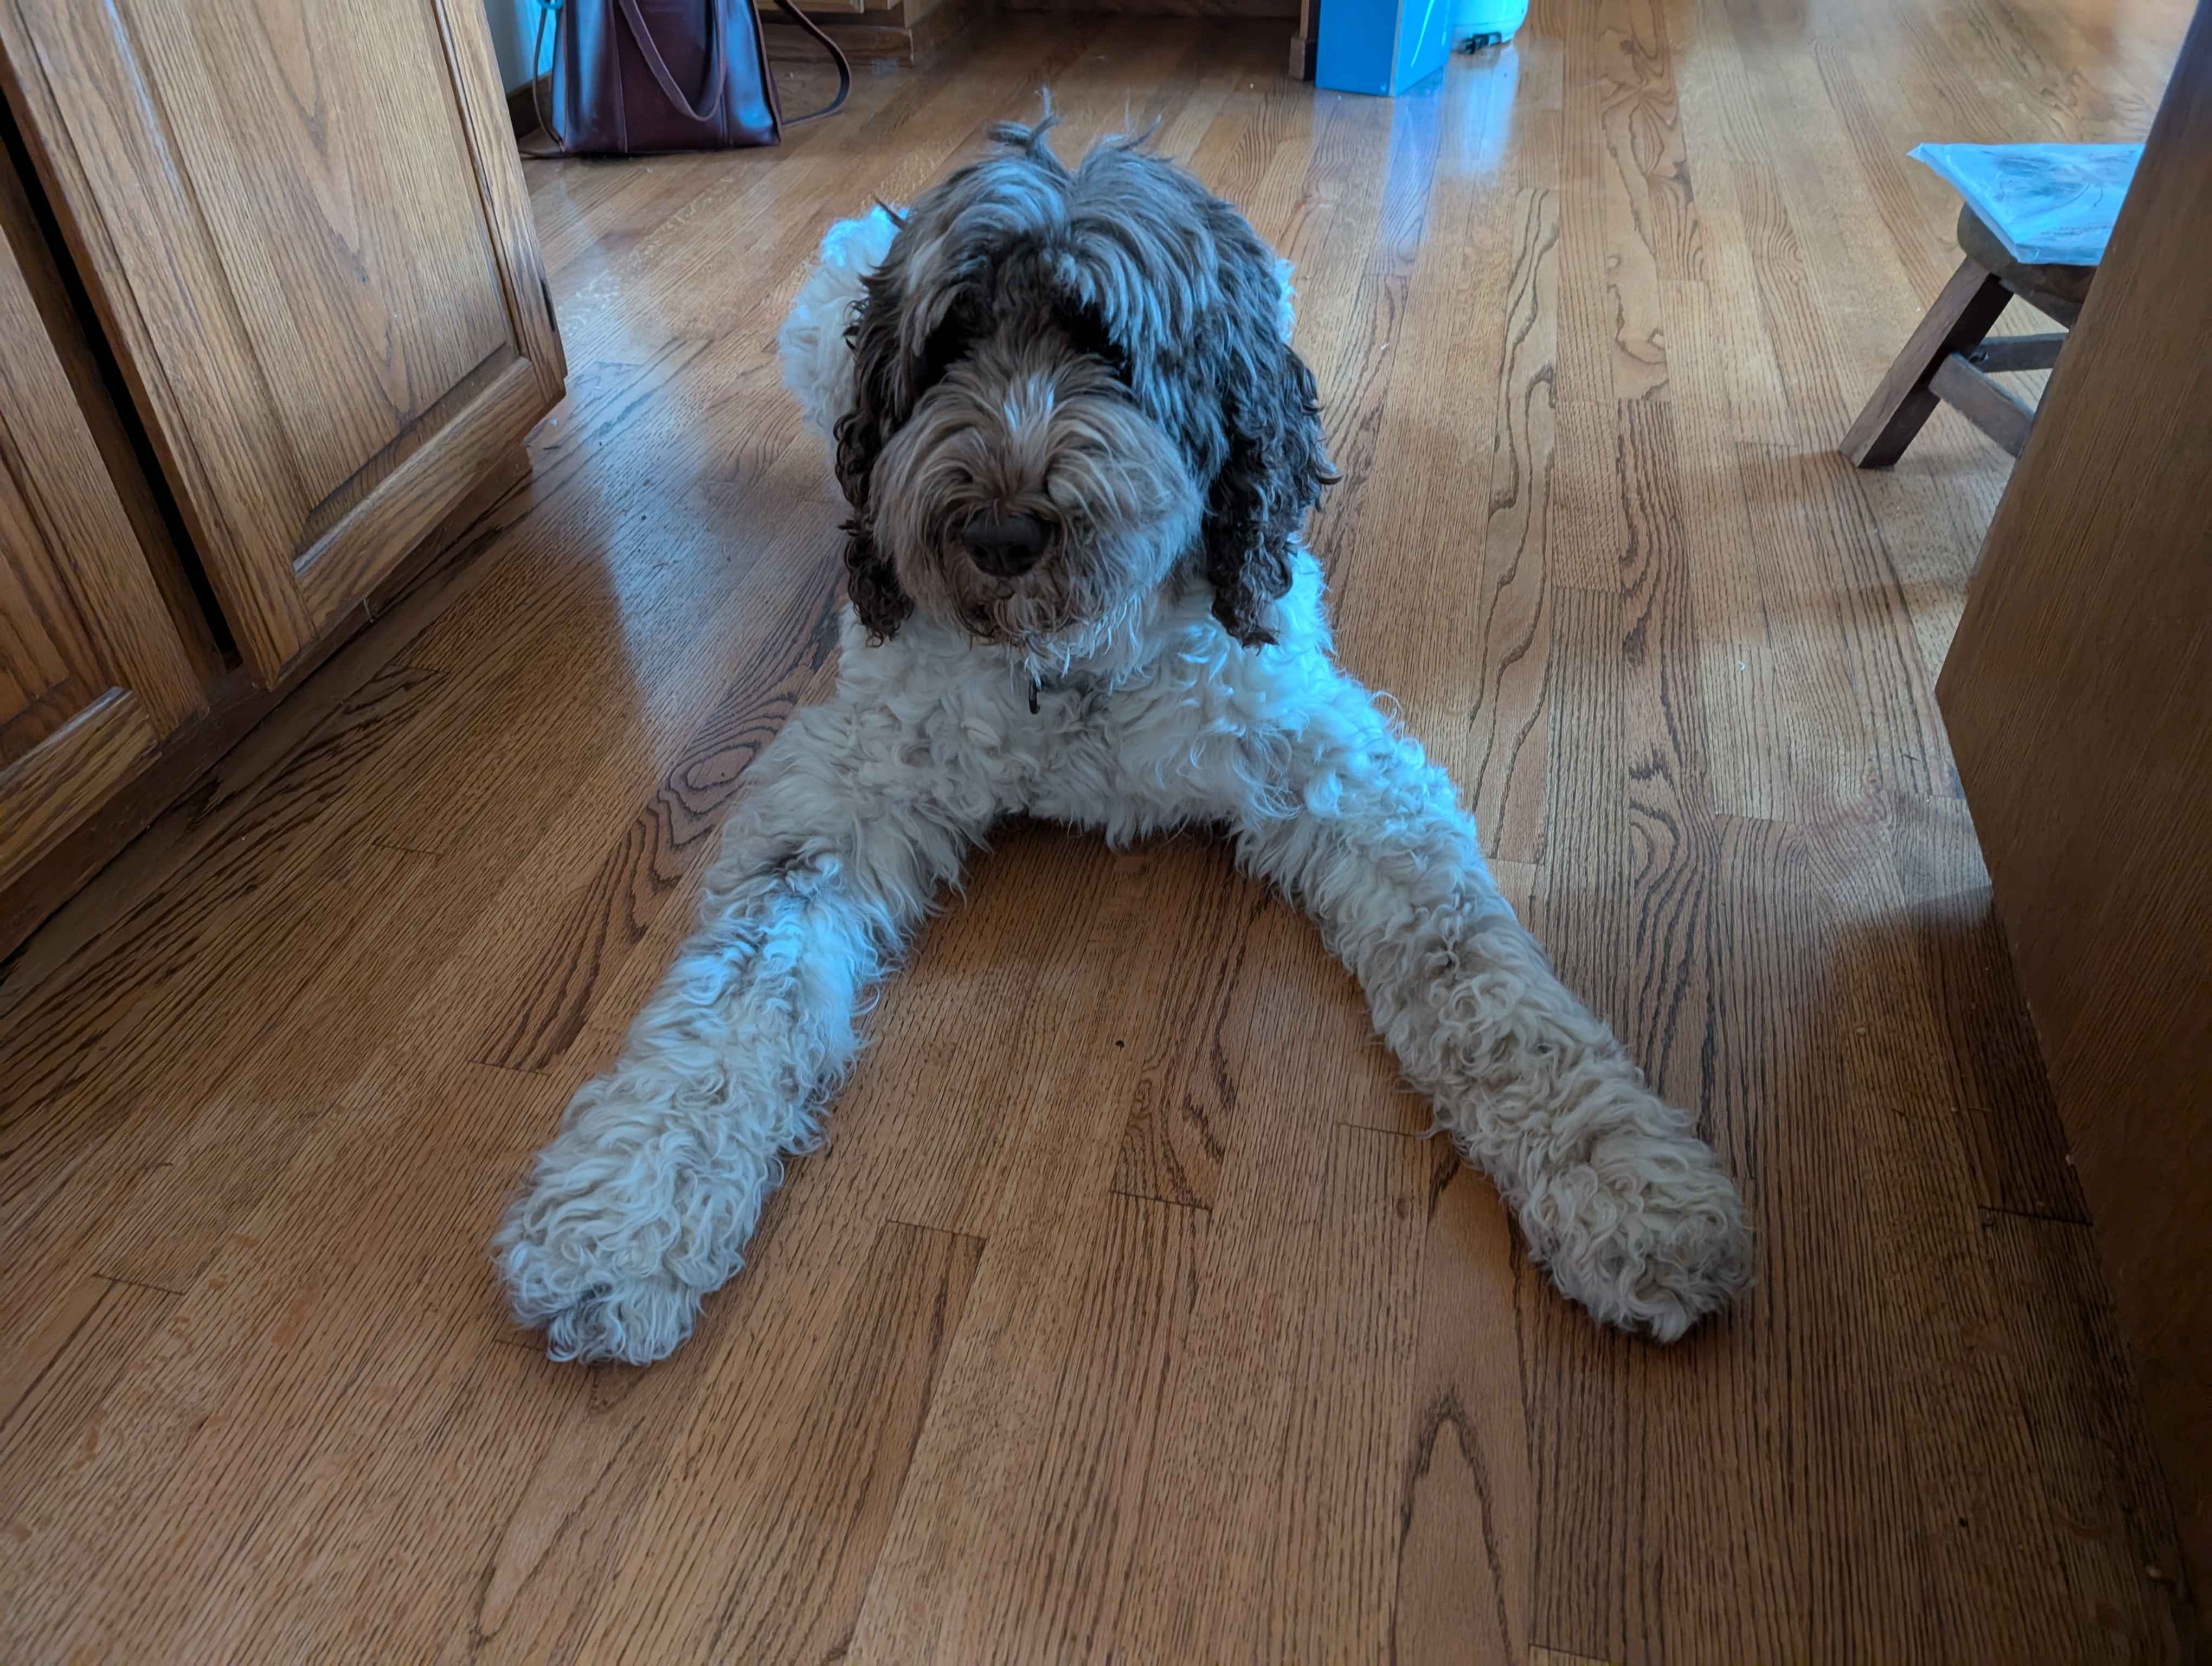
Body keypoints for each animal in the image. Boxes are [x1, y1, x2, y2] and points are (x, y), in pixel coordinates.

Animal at [498, 117, 1743, 1363]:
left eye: (1112, 347)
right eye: (949, 344)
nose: (1001, 533)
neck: (1074, 670)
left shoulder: (1332, 765)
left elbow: (1482, 979)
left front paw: (1628, 1182)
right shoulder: (845, 789)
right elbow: (734, 990)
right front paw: (625, 1212)